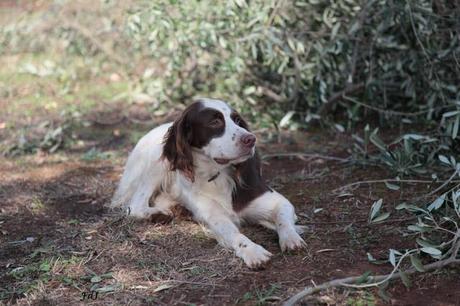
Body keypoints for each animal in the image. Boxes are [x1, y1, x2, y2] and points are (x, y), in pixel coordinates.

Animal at [111, 98, 306, 268]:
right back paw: (158, 214)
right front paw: (253, 251)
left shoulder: (275, 200)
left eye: (238, 121)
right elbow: (234, 234)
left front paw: (291, 237)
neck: (217, 174)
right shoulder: (214, 216)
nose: (251, 139)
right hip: (157, 163)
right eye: (215, 122)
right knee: (134, 206)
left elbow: (283, 218)